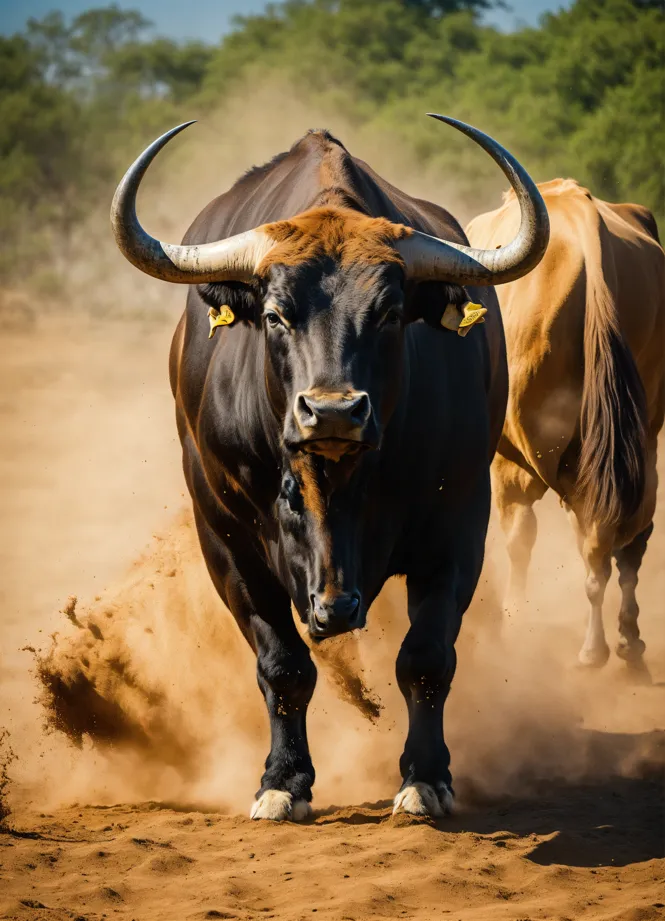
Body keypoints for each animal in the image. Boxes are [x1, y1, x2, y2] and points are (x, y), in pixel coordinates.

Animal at [110, 115, 549, 820]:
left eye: (391, 313)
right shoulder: (226, 540)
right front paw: (283, 781)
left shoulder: (458, 526)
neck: (334, 487)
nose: (334, 410)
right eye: (274, 314)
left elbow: (426, 657)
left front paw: (426, 776)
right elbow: (283, 664)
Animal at [466, 179, 664, 671]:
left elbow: (520, 537)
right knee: (624, 540)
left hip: (536, 456)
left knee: (572, 537)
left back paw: (587, 645)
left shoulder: (509, 461)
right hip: (640, 444)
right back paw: (625, 642)